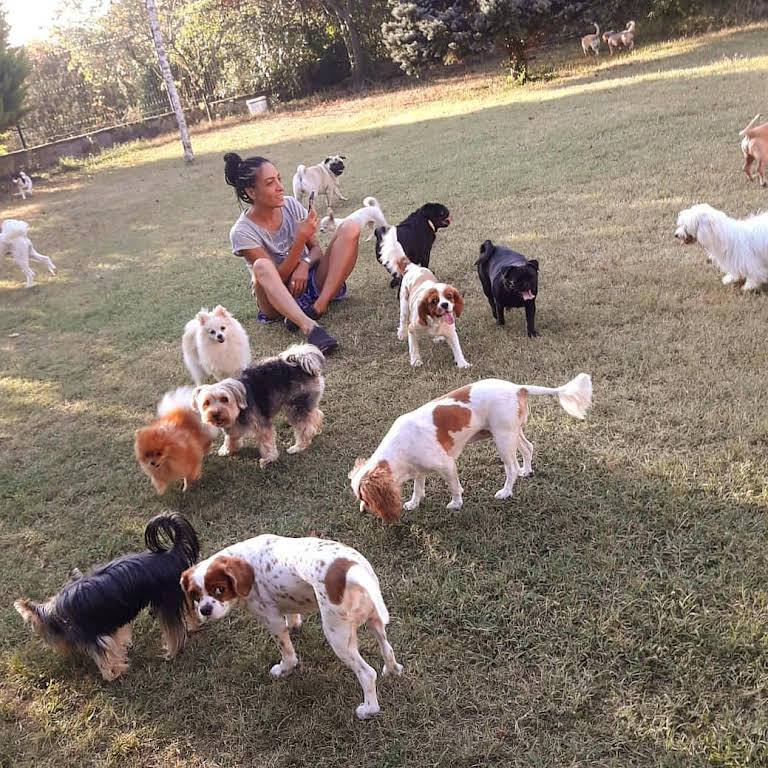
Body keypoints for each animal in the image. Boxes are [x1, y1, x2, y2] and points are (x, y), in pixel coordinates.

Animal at [16, 512, 201, 680]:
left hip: (166, 602)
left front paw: (114, 673)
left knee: (174, 632)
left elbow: (106, 658)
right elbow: (117, 640)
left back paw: (171, 652)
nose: (58, 651)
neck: (57, 616)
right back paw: (193, 626)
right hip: (178, 595)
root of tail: (171, 553)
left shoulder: (95, 638)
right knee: (189, 611)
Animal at [180, 536, 402, 720]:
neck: (246, 564)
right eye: (194, 595)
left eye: (220, 589)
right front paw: (294, 625)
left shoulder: (272, 620)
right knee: (387, 648)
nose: (205, 610)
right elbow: (292, 615)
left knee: (367, 673)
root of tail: (351, 569)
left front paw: (284, 669)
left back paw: (369, 709)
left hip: (338, 637)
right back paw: (392, 670)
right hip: (374, 620)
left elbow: (287, 652)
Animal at [192, 344, 328, 464]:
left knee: (304, 428)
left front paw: (268, 458)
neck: (239, 407)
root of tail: (302, 361)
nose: (215, 414)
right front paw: (227, 450)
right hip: (303, 403)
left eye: (224, 399)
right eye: (206, 403)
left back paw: (298, 447)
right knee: (316, 414)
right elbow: (231, 438)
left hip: (294, 406)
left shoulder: (261, 425)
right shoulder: (233, 427)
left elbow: (265, 443)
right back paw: (316, 429)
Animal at [378, 226, 468, 368]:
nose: (445, 305)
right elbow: (413, 348)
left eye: (449, 296)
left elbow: (457, 349)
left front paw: (462, 363)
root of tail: (413, 267)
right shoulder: (412, 329)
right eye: (434, 301)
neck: (435, 322)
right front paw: (416, 361)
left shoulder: (451, 332)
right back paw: (401, 334)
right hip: (404, 304)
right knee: (402, 320)